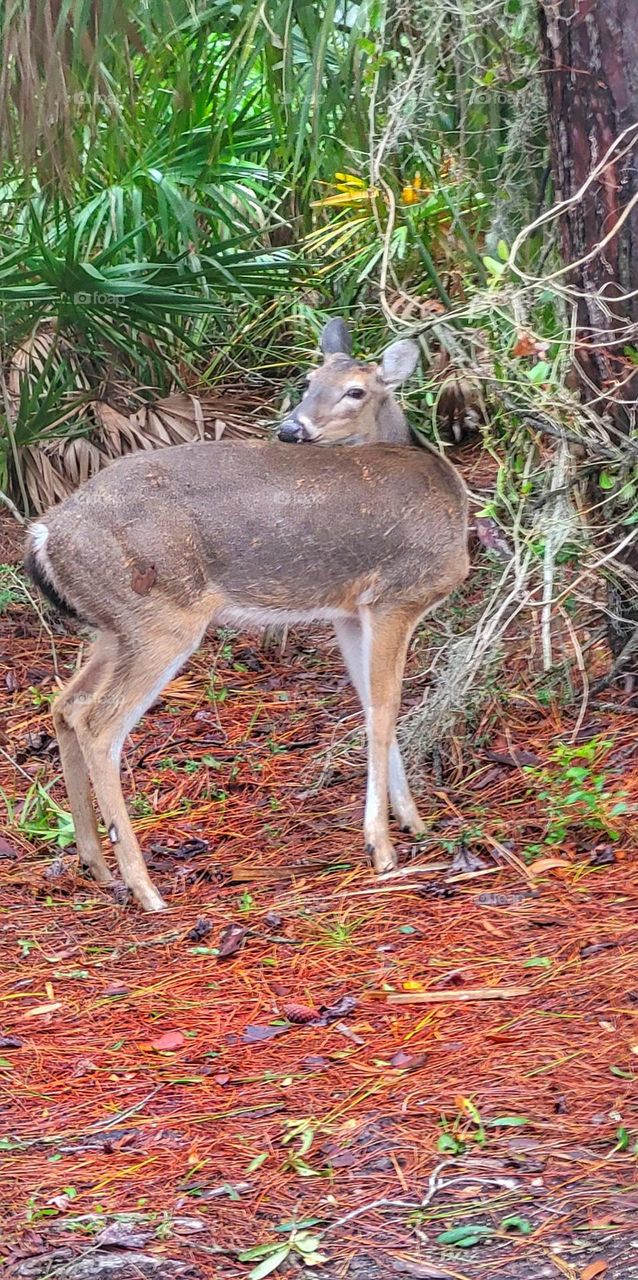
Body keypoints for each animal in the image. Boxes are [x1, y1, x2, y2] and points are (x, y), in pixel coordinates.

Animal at [24, 317, 468, 911]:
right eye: (306, 381)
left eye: (354, 390)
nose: (292, 429)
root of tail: (45, 534)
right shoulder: (397, 595)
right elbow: (384, 710)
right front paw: (382, 847)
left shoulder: (351, 611)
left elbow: (372, 703)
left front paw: (412, 822)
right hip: (160, 617)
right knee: (99, 724)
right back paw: (146, 888)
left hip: (115, 626)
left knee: (66, 703)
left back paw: (95, 863)